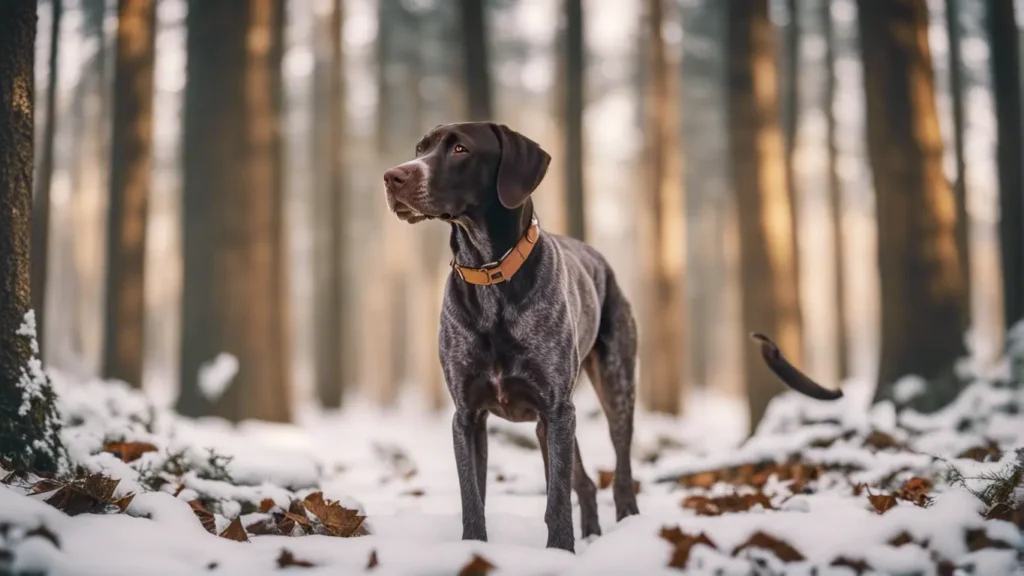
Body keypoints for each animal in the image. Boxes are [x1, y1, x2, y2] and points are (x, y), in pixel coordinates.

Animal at [380, 121, 843, 553]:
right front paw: (476, 549)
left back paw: (625, 525)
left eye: (460, 149)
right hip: (551, 424)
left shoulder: (556, 408)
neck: (491, 274)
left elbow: (556, 501)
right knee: (583, 481)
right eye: (420, 148)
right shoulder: (469, 416)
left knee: (620, 473)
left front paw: (560, 553)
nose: (392, 176)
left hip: (614, 389)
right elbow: (473, 499)